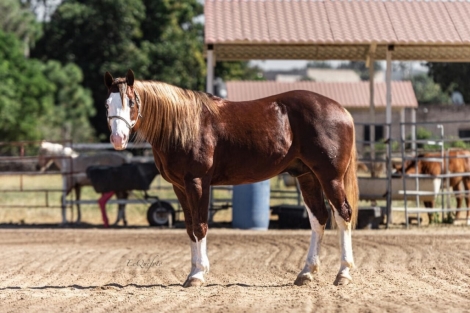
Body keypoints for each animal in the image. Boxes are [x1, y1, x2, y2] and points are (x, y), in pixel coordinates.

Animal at [103, 69, 360, 286]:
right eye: (107, 104)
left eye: (131, 102)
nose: (117, 139)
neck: (185, 125)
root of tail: (342, 110)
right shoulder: (180, 187)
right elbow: (189, 227)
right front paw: (191, 273)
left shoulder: (197, 182)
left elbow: (200, 226)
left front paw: (198, 275)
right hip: (307, 177)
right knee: (319, 218)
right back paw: (306, 273)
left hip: (330, 177)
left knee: (343, 215)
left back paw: (343, 273)